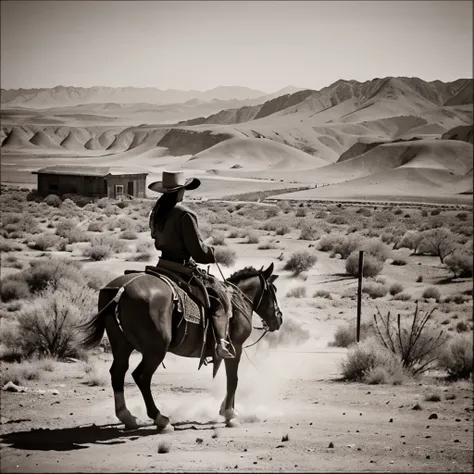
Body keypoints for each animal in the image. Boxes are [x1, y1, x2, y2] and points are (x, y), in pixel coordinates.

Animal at [79, 262, 284, 434]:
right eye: (273, 290)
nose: (279, 319)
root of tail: (120, 290)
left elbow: (231, 380)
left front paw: (225, 409)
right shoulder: (236, 349)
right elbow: (233, 380)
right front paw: (230, 414)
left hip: (122, 345)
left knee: (118, 373)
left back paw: (126, 416)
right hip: (155, 350)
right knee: (142, 376)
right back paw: (161, 419)